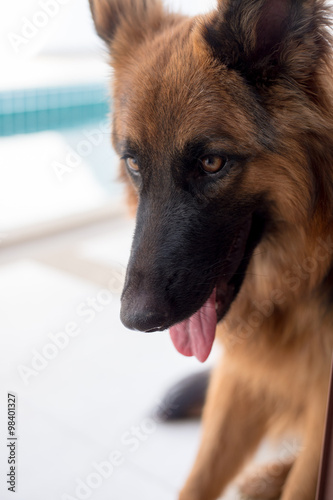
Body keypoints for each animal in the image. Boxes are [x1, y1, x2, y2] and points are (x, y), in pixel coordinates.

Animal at [89, 0, 332, 500]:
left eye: (212, 163)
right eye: (134, 163)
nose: (137, 320)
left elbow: (305, 482)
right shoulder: (244, 375)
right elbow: (200, 478)